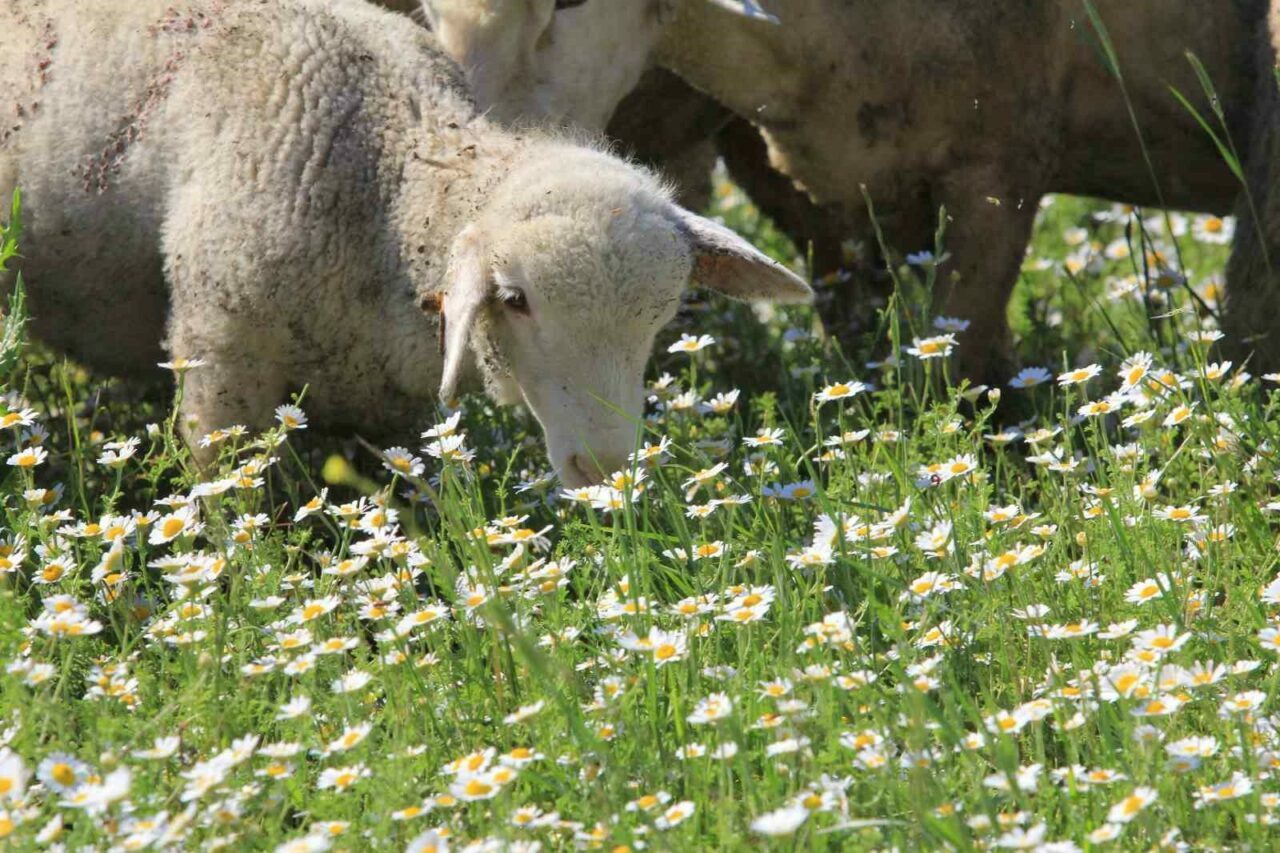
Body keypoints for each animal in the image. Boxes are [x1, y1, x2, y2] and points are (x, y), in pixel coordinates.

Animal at [0, 0, 811, 486]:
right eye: (515, 299)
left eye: (664, 316)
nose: (606, 470)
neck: (390, 178)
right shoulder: (218, 355)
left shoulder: (394, 407)